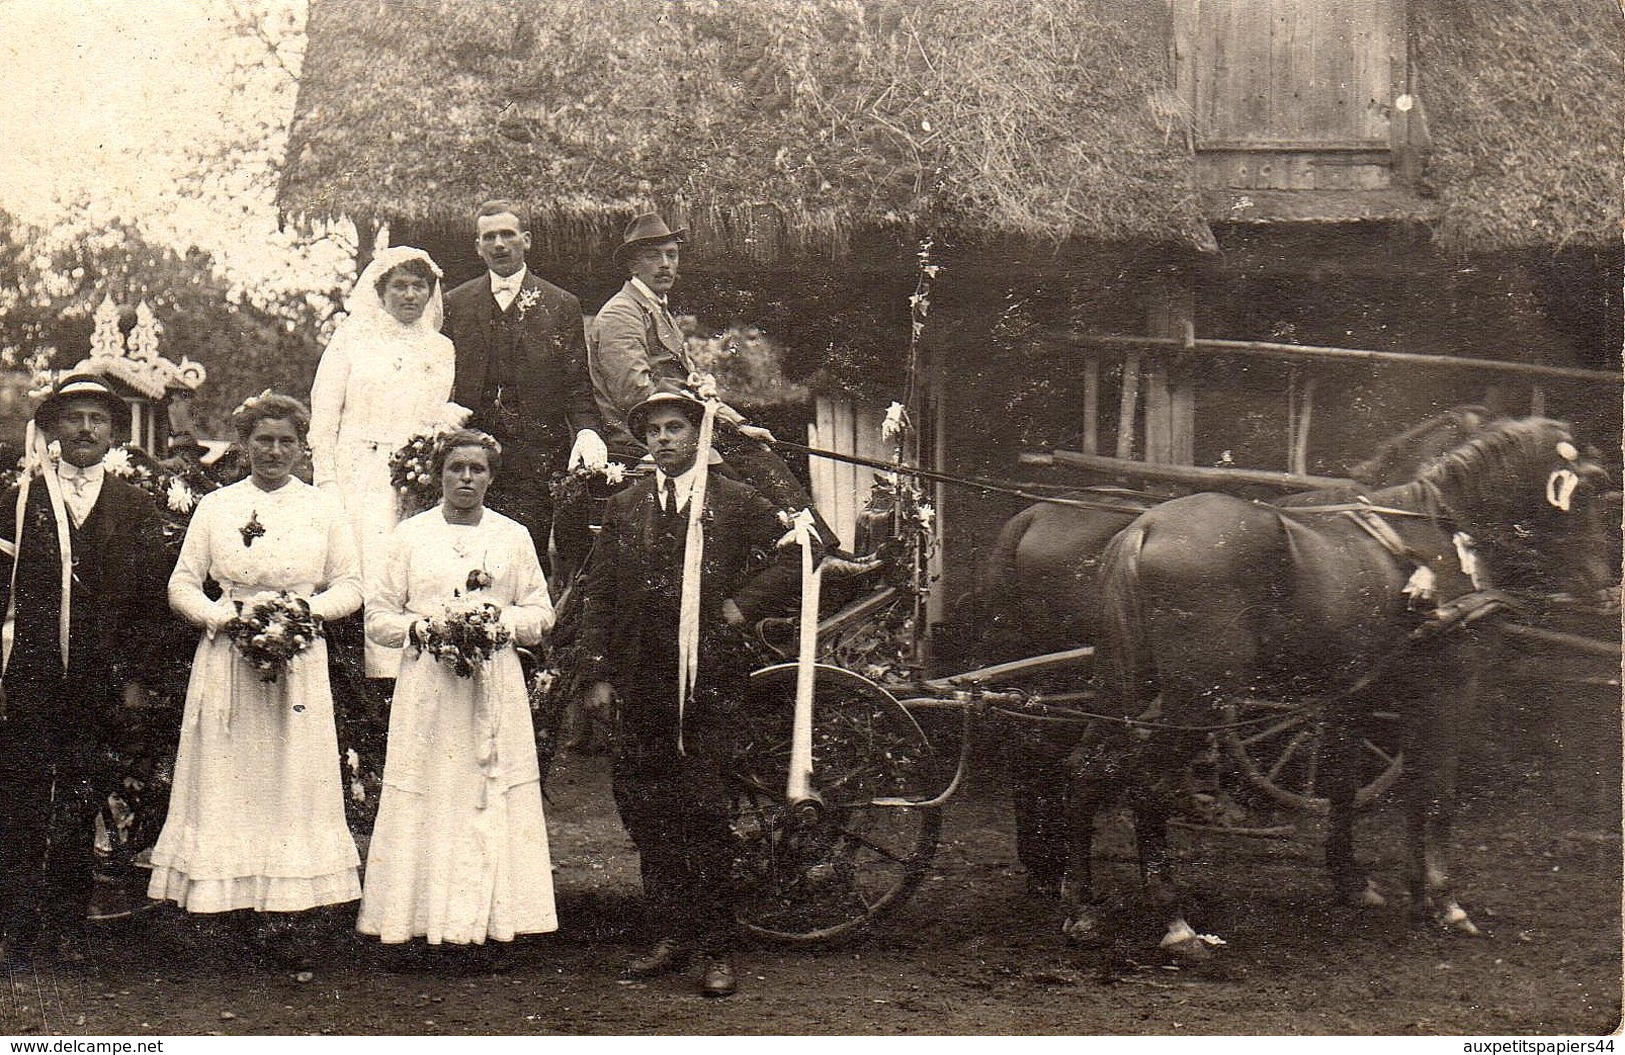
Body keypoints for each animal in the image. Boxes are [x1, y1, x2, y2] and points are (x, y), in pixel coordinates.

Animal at [1066, 416, 1612, 955]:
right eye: (1588, 491)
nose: (1604, 583)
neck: (1440, 531)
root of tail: (1147, 526)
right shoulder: (1448, 690)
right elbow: (1436, 792)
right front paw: (1443, 901)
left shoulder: (1357, 699)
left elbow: (1349, 787)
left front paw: (1359, 882)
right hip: (1198, 698)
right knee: (1147, 783)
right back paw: (1175, 921)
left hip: (1125, 684)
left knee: (1087, 766)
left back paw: (1082, 905)